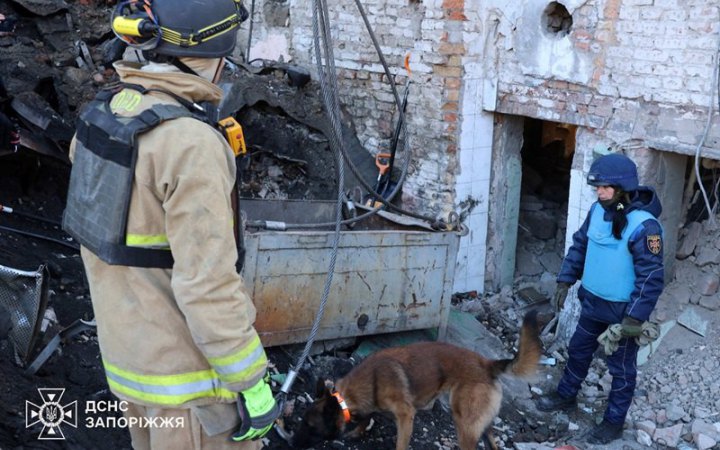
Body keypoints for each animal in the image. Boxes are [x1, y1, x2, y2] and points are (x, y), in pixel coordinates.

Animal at [292, 312, 540, 448]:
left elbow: (400, 444)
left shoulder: (405, 416)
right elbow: (367, 417)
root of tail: (487, 364)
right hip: (482, 424)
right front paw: (358, 431)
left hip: (465, 423)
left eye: (310, 426)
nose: (290, 442)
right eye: (301, 421)